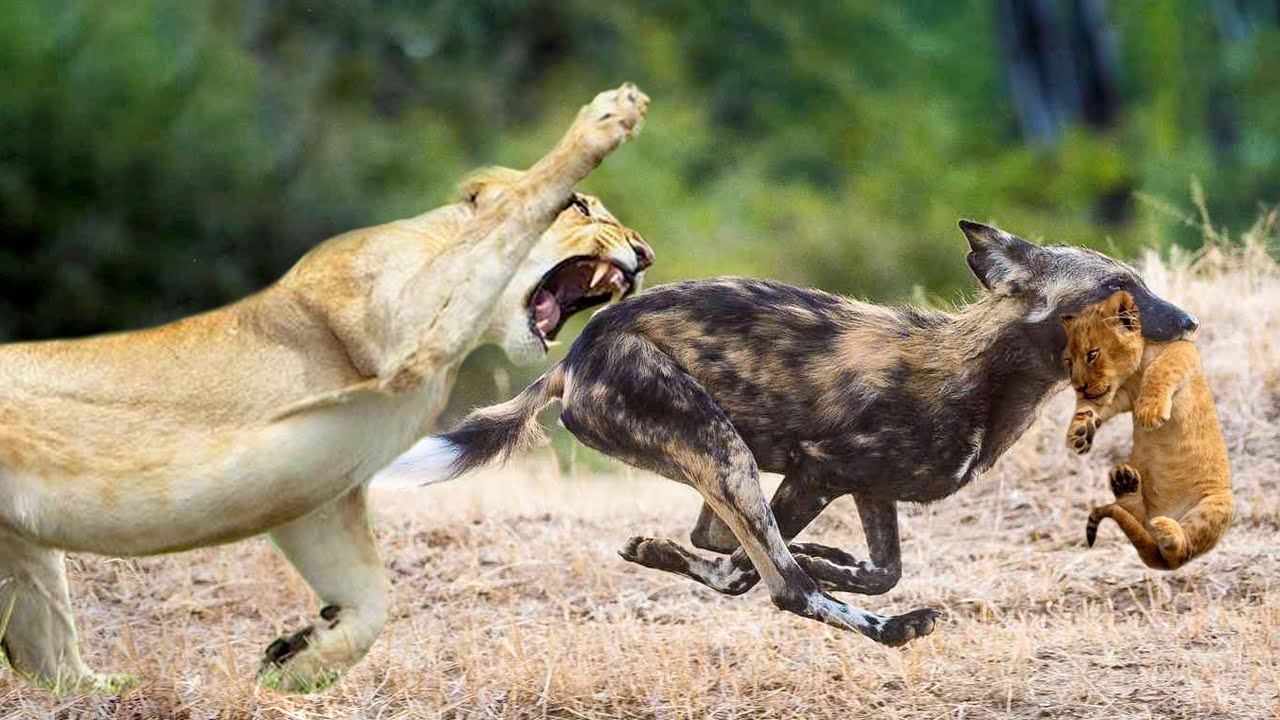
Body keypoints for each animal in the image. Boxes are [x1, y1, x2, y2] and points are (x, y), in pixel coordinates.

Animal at [0, 83, 650, 694]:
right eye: (584, 207)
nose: (644, 254)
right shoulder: (397, 324)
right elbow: (513, 208)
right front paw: (606, 120)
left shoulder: (314, 498)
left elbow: (375, 601)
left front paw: (295, 663)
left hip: (24, 557)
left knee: (47, 657)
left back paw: (114, 688)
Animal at [1061, 291, 1234, 570]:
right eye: (1068, 361)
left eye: (1092, 354)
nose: (1079, 387)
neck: (1135, 371)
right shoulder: (1121, 395)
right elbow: (1089, 408)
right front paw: (1079, 432)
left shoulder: (1184, 349)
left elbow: (1162, 368)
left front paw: (1149, 413)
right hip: (1144, 515)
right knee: (1137, 520)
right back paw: (1125, 483)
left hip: (1218, 504)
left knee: (1180, 553)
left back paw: (1168, 532)